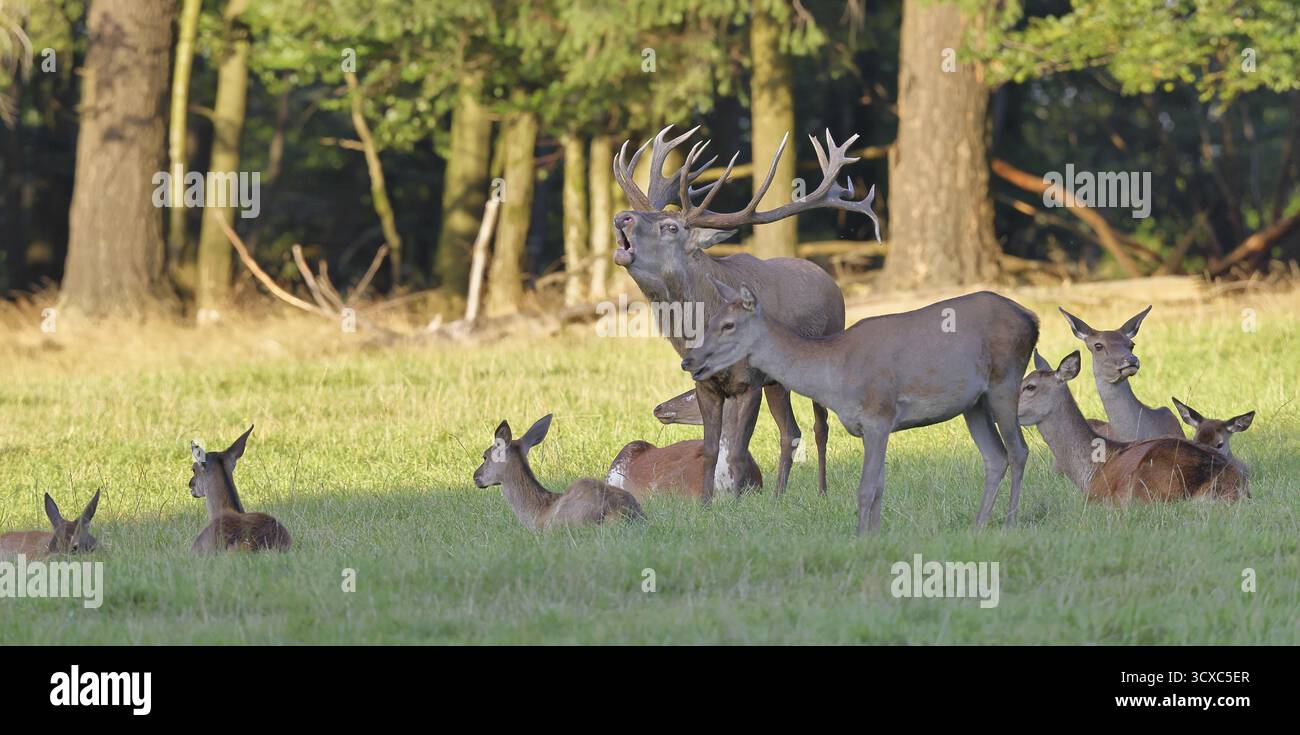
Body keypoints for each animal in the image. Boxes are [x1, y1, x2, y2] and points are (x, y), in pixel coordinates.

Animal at [612, 126, 878, 501]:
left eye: (671, 227)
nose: (622, 216)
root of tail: (829, 278)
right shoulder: (706, 385)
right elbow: (711, 450)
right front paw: (706, 504)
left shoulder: (749, 381)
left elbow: (737, 450)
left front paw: (738, 502)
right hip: (778, 382)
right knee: (790, 430)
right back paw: (779, 495)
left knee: (819, 425)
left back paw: (822, 491)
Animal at [681, 278, 1039, 534]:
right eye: (709, 321)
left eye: (728, 324)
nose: (690, 360)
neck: (837, 379)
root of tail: (1032, 319)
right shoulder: (872, 426)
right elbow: (879, 486)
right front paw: (874, 536)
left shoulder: (879, 414)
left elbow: (866, 488)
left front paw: (859, 537)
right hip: (973, 403)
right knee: (995, 457)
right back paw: (978, 526)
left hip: (1005, 380)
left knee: (1018, 451)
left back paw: (1009, 523)